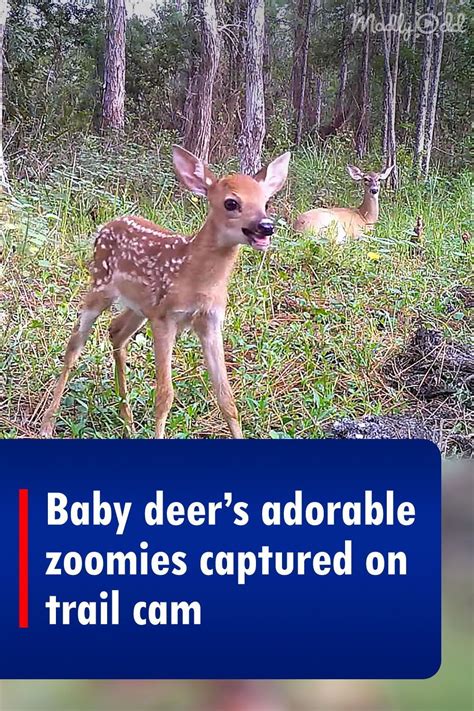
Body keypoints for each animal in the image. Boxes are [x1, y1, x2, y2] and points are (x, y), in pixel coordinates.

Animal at [40, 145, 290, 440]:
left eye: (266, 202)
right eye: (231, 203)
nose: (266, 226)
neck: (196, 279)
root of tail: (105, 226)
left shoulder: (210, 321)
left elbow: (226, 398)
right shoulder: (165, 317)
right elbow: (164, 395)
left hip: (139, 306)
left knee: (116, 331)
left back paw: (128, 423)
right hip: (101, 285)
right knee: (75, 344)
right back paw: (47, 423)